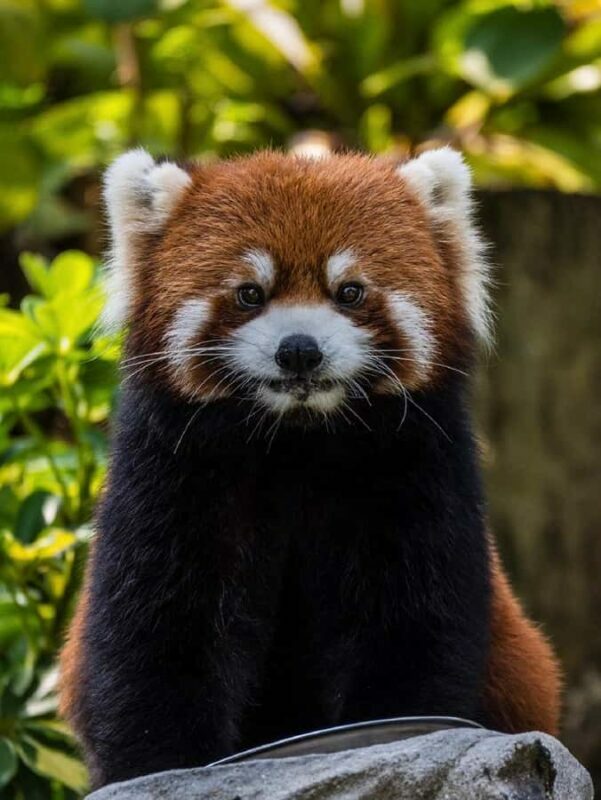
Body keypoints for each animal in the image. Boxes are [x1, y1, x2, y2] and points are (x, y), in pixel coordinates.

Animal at [59, 147, 561, 788]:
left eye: (349, 291)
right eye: (250, 293)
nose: (299, 350)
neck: (297, 441)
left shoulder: (418, 471)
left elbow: (412, 623)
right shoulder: (170, 473)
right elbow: (157, 630)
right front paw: (159, 766)